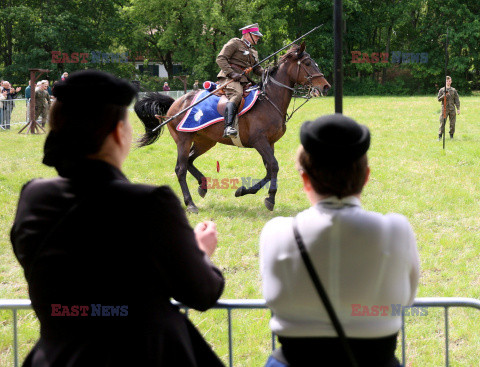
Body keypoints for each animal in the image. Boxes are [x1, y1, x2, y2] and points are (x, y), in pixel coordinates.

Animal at [134, 43, 330, 214]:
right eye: (307, 63)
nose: (326, 86)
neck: (269, 100)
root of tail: (176, 103)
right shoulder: (260, 141)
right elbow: (274, 166)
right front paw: (270, 199)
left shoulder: (270, 143)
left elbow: (269, 169)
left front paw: (243, 191)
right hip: (183, 140)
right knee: (180, 169)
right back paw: (190, 204)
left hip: (205, 141)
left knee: (189, 160)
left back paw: (203, 186)